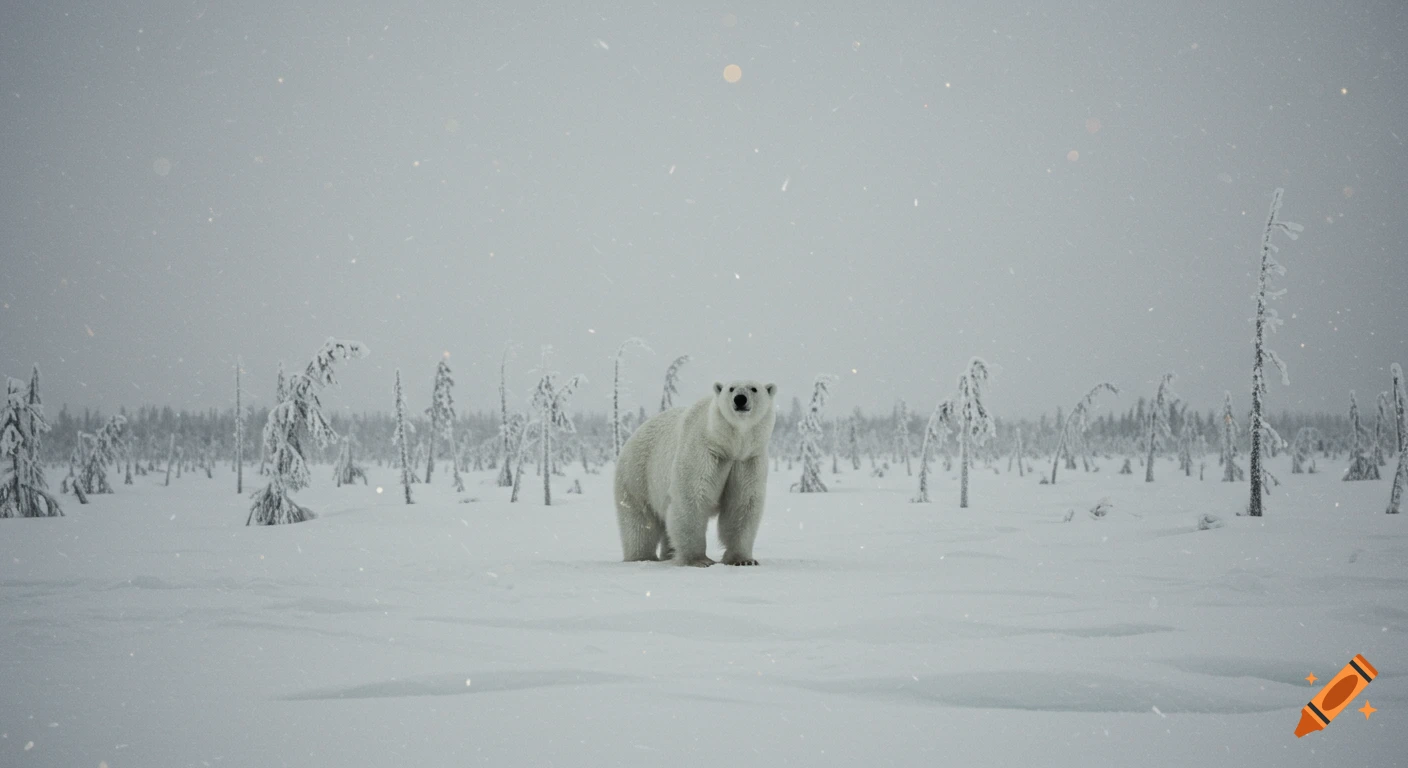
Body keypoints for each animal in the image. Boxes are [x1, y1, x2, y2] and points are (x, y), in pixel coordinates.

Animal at [614, 380, 776, 567]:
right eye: (731, 388)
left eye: (753, 389)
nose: (740, 399)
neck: (730, 445)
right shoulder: (704, 451)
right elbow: (692, 498)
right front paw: (699, 560)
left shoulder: (747, 459)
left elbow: (742, 504)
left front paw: (744, 560)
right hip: (637, 475)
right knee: (640, 522)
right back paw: (642, 557)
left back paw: (668, 554)